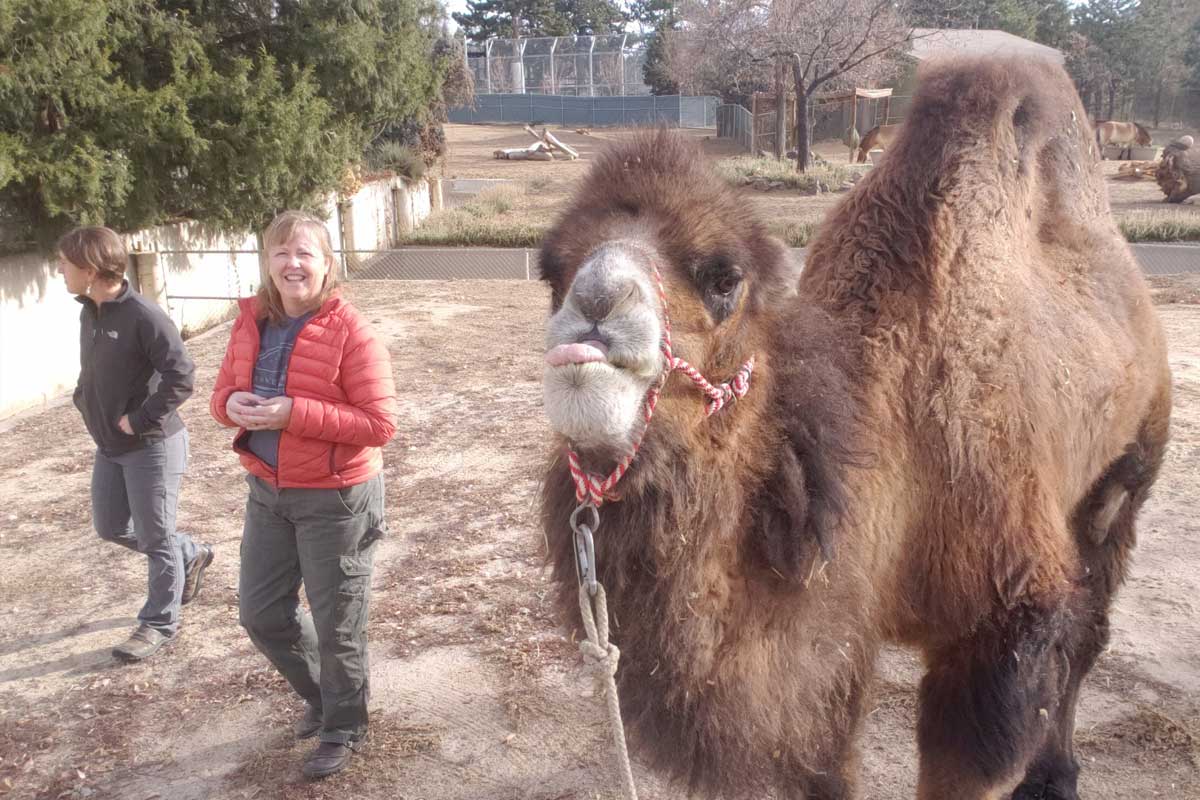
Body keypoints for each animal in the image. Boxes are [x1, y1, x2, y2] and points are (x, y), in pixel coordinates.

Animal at [538, 56, 1171, 799]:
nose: (594, 308)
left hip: (1128, 467)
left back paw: (1056, 774)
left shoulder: (1004, 630)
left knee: (1088, 627)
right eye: (551, 273)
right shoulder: (839, 638)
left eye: (725, 278)